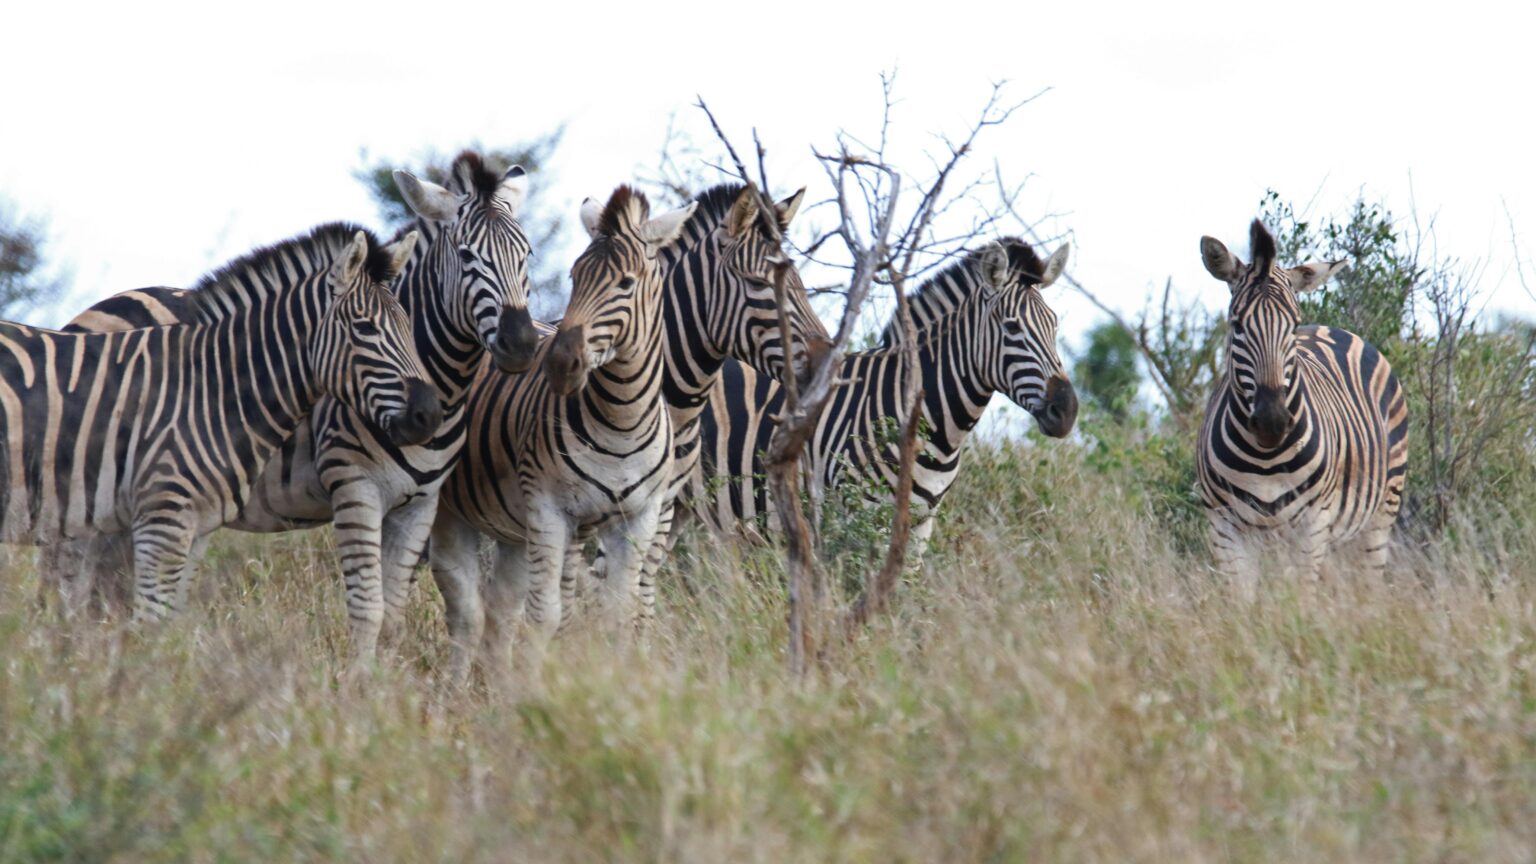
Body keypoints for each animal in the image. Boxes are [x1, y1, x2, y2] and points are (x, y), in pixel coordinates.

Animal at [50, 152, 537, 656]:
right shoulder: (355, 488)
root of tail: (94, 309)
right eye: (466, 256)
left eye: (528, 254)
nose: (522, 344)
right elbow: (367, 610)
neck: (443, 383)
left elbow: (393, 617)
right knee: (74, 584)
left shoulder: (420, 504)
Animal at [432, 185, 692, 684]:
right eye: (574, 276)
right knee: (464, 611)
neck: (623, 420)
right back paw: (452, 692)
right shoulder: (549, 509)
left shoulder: (640, 516)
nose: (557, 363)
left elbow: (619, 613)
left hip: (511, 526)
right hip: (449, 512)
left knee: (497, 608)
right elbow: (545, 616)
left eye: (626, 283)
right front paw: (534, 690)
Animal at [1196, 219, 1408, 580]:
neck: (1264, 460)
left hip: (1380, 513)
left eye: (1292, 327)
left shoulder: (1312, 526)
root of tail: (1332, 328)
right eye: (1237, 326)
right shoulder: (1224, 529)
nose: (1271, 422)